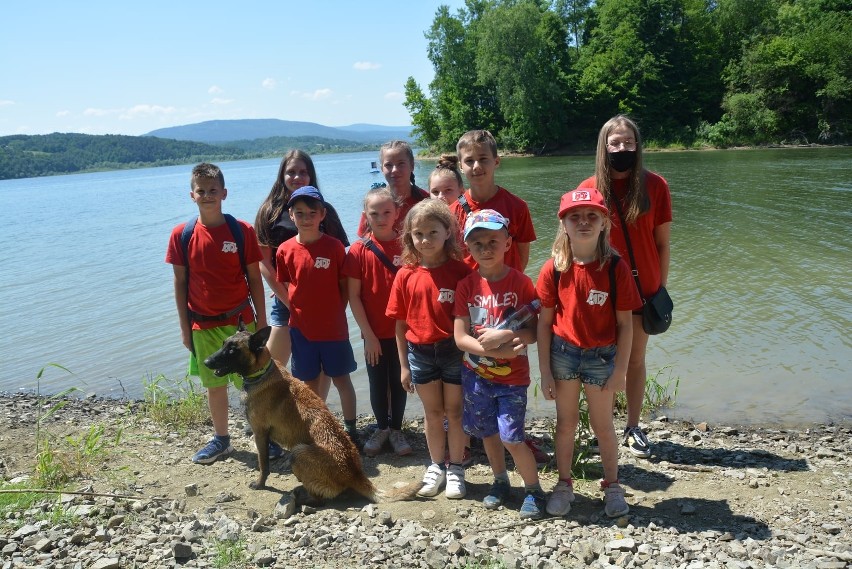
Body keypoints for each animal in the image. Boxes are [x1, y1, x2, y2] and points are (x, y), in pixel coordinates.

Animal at [206, 322, 420, 504]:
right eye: (223, 344)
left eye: (232, 350)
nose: (206, 361)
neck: (261, 372)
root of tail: (355, 473)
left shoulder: (260, 433)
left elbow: (263, 464)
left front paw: (260, 483)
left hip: (298, 452)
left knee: (322, 498)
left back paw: (302, 497)